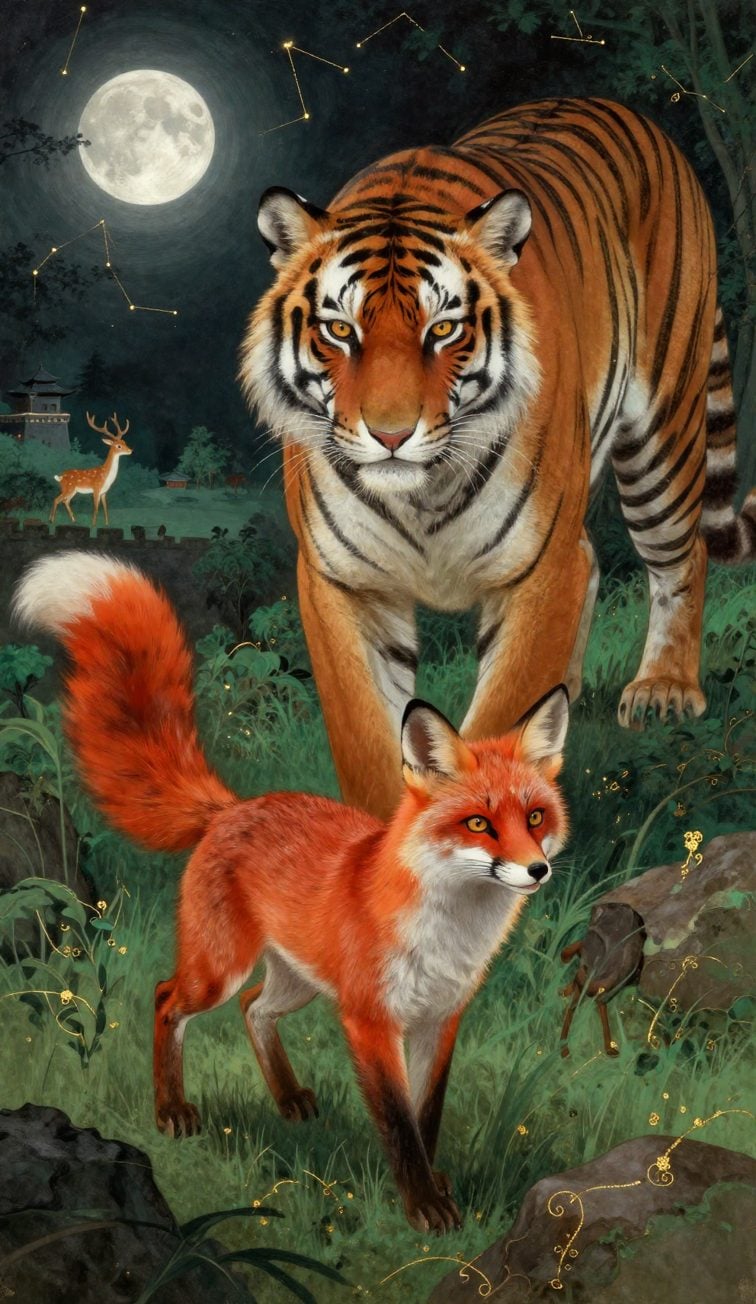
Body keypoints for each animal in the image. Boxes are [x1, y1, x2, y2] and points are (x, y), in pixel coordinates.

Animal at [13, 552, 570, 1234]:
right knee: (167, 998)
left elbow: (426, 1119)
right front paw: (424, 1207)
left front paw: (435, 1187)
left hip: (297, 979)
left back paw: (287, 1099)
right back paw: (172, 1111)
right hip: (218, 971)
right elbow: (399, 1126)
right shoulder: (370, 1021)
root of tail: (232, 808)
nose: (536, 870)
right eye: (480, 825)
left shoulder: (440, 1021)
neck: (449, 935)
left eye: (536, 818)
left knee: (254, 1008)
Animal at [239, 96, 755, 821]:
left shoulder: (537, 570)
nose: (391, 435)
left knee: (681, 556)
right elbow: (365, 737)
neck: (422, 493)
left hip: (662, 430)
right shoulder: (342, 582)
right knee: (594, 556)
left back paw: (664, 690)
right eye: (340, 329)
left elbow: (499, 719)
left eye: (444, 329)